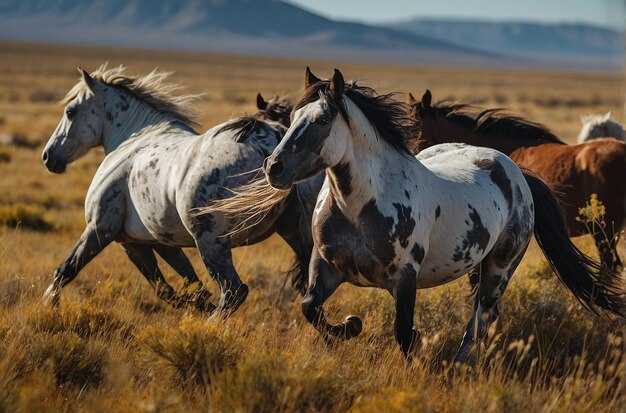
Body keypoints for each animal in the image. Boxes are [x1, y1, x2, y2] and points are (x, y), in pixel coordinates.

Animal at [40, 65, 316, 312]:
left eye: (70, 111)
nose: (48, 156)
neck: (133, 139)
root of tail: (273, 143)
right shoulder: (159, 241)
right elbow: (183, 285)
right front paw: (196, 304)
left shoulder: (108, 232)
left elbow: (65, 270)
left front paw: (48, 304)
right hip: (296, 234)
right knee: (309, 288)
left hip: (211, 242)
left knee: (234, 291)